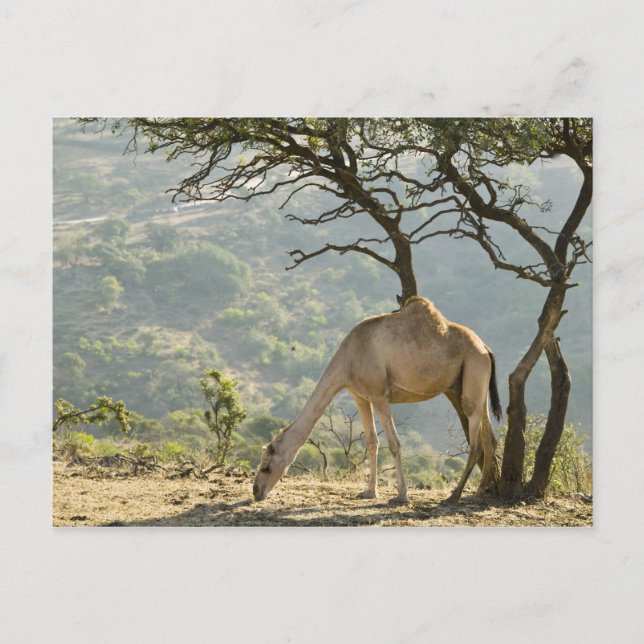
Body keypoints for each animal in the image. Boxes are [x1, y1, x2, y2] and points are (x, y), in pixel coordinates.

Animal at [253, 296, 502, 505]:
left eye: (266, 466)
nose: (256, 492)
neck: (347, 361)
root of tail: (486, 348)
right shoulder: (361, 396)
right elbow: (372, 443)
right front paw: (369, 492)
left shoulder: (379, 394)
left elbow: (394, 444)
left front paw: (401, 496)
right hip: (469, 384)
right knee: (490, 437)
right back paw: (480, 491)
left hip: (473, 371)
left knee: (476, 442)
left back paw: (454, 496)